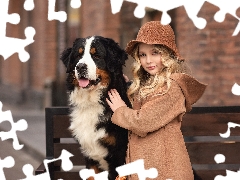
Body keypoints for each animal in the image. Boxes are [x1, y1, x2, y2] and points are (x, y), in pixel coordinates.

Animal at [60, 35, 131, 179]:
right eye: (78, 55)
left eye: (96, 55)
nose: (80, 67)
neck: (92, 103)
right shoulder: (91, 158)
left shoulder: (118, 156)